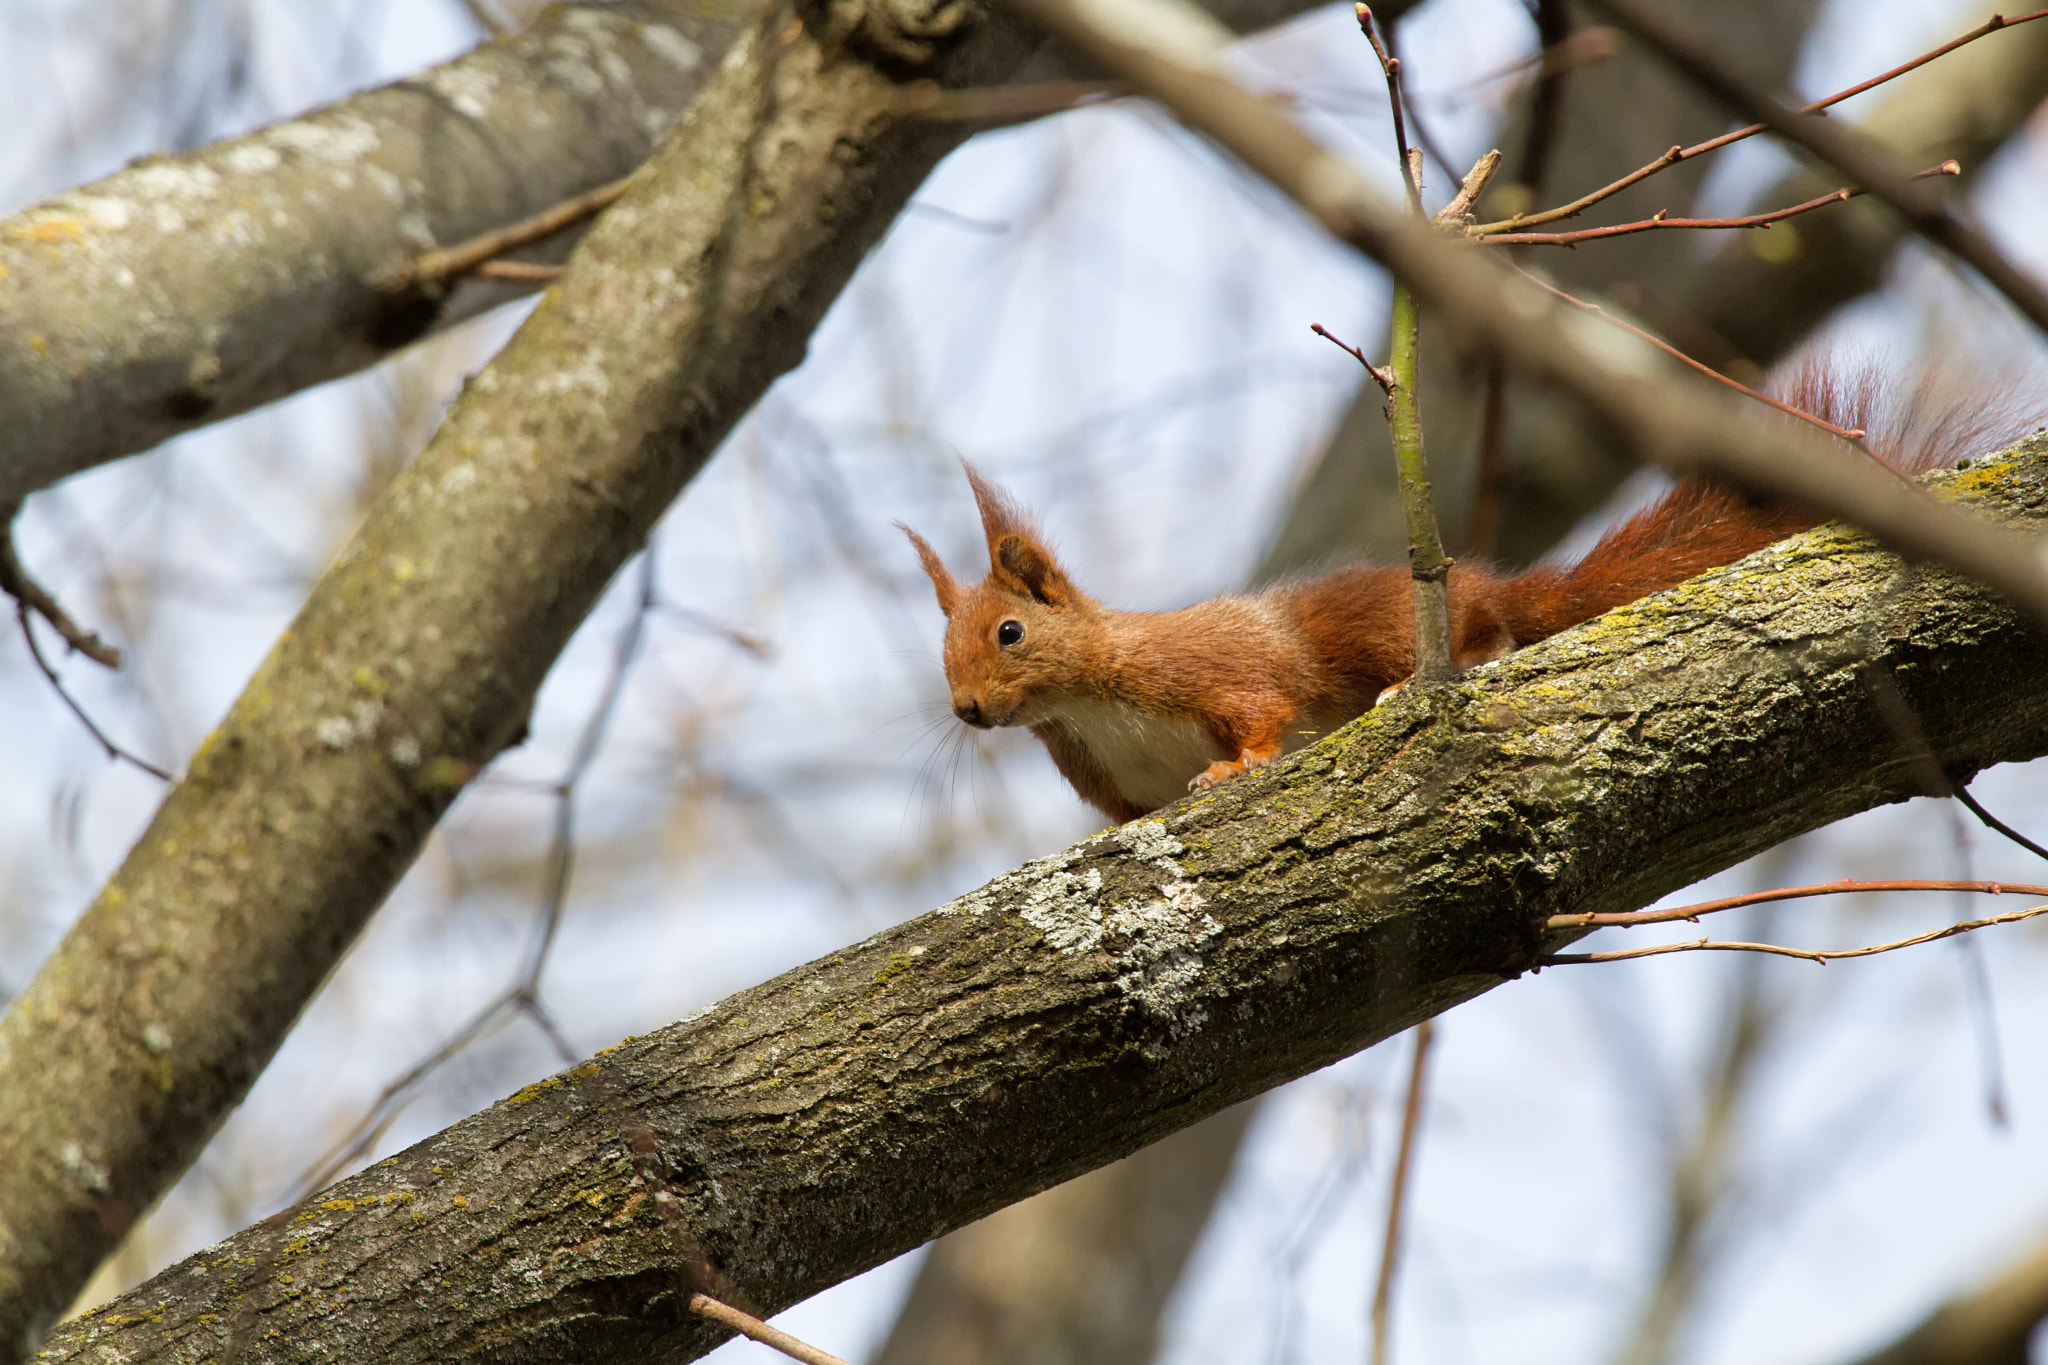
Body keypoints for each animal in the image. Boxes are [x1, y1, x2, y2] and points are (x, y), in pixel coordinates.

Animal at [909, 366, 2031, 822]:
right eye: (941, 652)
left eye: (1009, 632)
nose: (965, 712)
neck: (1090, 700)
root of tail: (1492, 587)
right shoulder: (1111, 782)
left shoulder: (1208, 668)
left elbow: (1260, 707)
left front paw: (1238, 769)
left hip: (1378, 627)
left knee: (1481, 639)